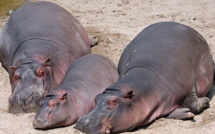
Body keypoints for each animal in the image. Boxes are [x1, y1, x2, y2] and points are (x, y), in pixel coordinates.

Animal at [75, 21, 213, 133]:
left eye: (114, 101)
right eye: (96, 98)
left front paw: (205, 101)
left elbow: (194, 105)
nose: (83, 121)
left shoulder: (188, 90)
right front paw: (185, 113)